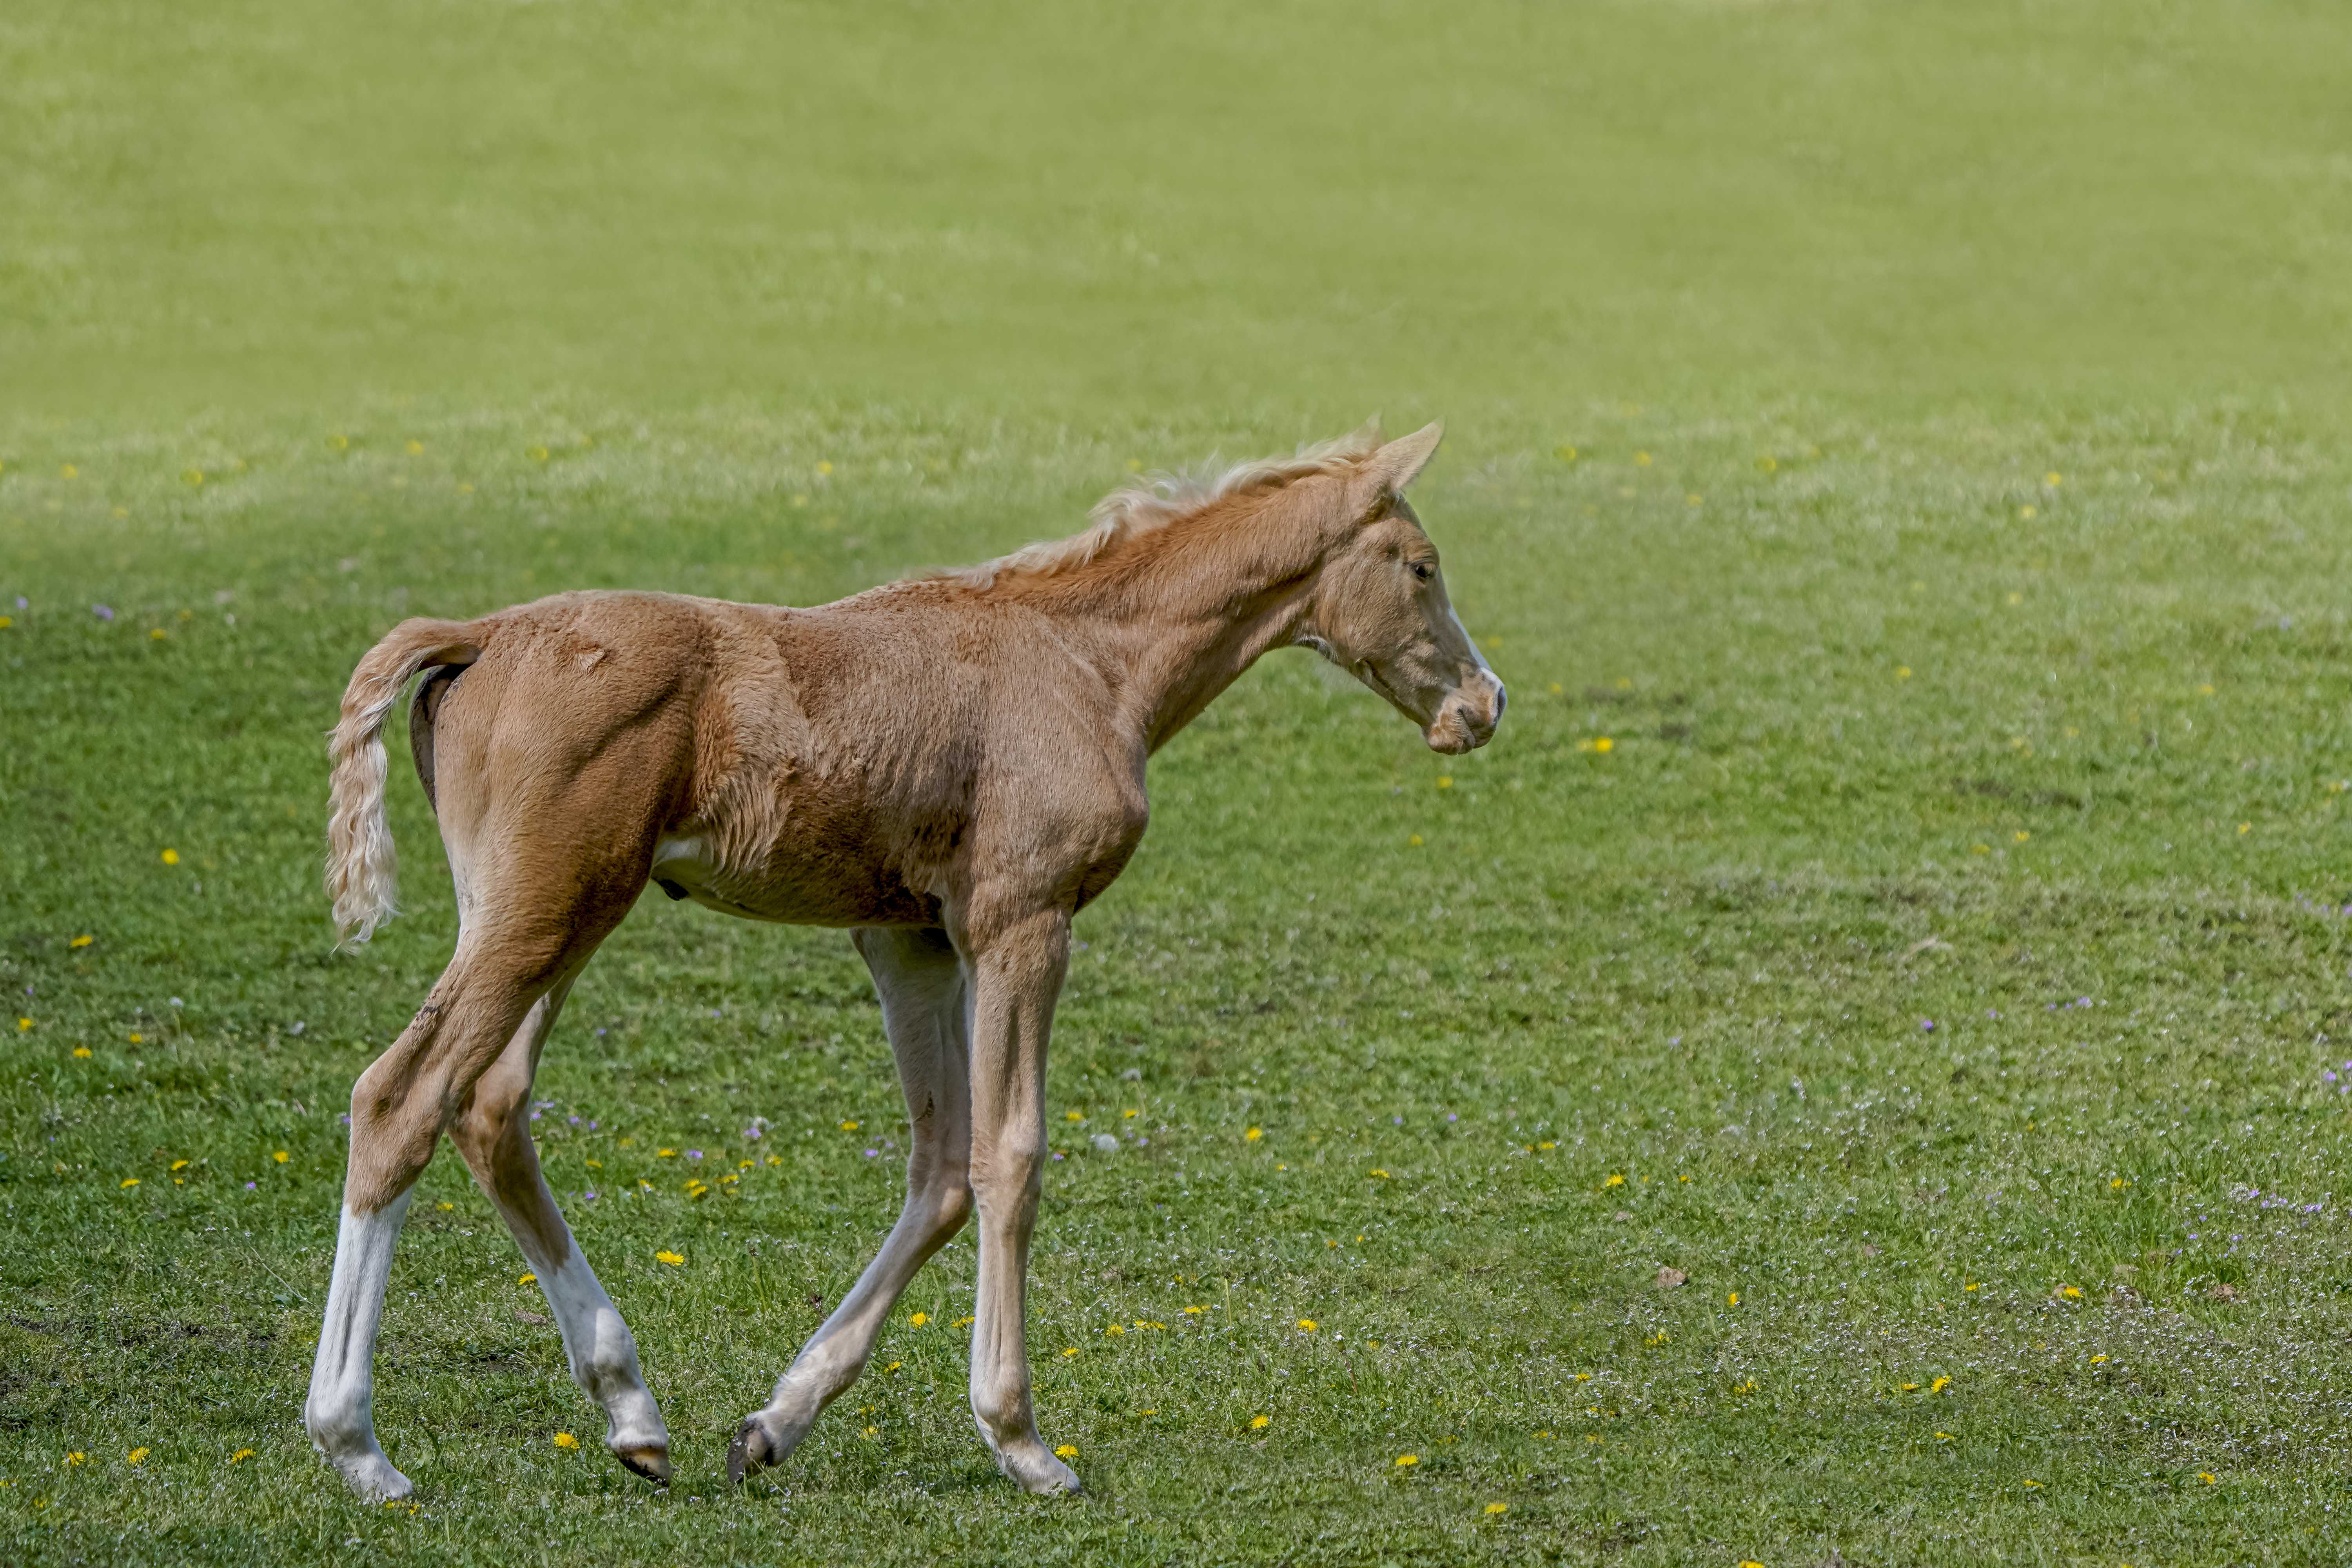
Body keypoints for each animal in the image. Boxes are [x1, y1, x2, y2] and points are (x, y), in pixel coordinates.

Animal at [302, 420, 1503, 1501]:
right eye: (1423, 565)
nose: (1482, 705)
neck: (1087, 662)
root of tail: (479, 634)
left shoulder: (910, 938)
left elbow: (942, 1168)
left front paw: (776, 1422)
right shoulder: (1023, 921)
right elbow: (1010, 1155)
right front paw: (1021, 1441)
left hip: (544, 917)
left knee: (490, 1105)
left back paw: (632, 1413)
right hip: (545, 916)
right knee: (400, 1100)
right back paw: (359, 1448)